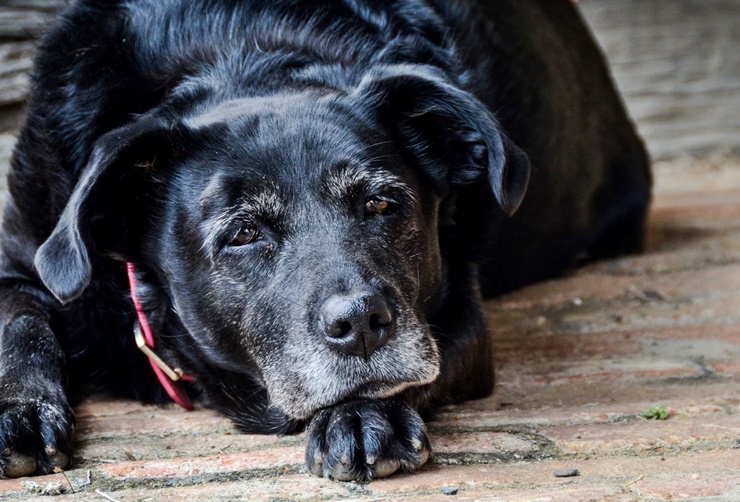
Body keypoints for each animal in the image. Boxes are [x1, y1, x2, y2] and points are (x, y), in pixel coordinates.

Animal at [0, 0, 648, 482]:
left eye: (382, 203)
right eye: (242, 232)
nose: (361, 322)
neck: (239, 52)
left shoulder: (455, 312)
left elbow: (419, 370)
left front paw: (361, 414)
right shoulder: (24, 257)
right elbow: (19, 323)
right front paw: (19, 411)